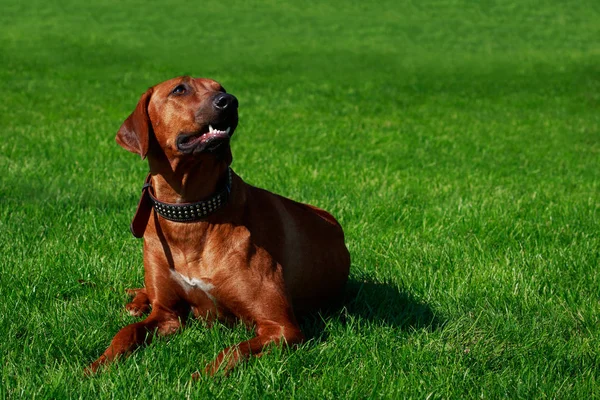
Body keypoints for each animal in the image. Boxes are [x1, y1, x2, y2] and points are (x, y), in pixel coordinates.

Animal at [87, 76, 352, 376]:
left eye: (221, 89)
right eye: (179, 89)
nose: (230, 101)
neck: (191, 212)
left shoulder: (282, 327)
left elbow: (232, 351)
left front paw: (198, 377)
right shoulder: (166, 314)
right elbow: (127, 332)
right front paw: (96, 366)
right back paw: (137, 301)